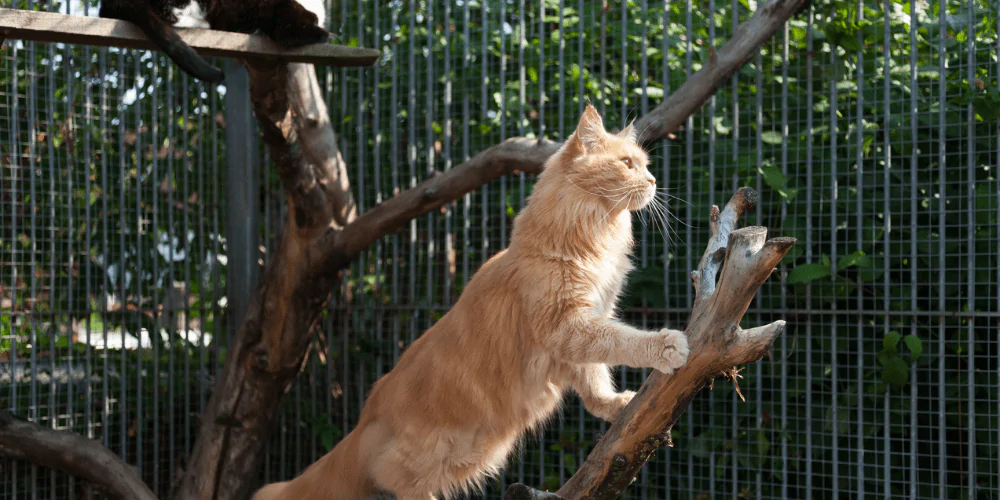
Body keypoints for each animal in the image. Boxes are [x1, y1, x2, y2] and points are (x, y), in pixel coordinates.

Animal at [252, 105, 688, 500]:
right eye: (628, 164)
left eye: (644, 165)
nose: (653, 180)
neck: (585, 239)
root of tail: (364, 421)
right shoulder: (567, 325)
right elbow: (622, 341)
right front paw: (666, 345)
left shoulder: (582, 329)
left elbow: (596, 383)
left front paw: (616, 405)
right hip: (430, 456)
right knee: (398, 482)